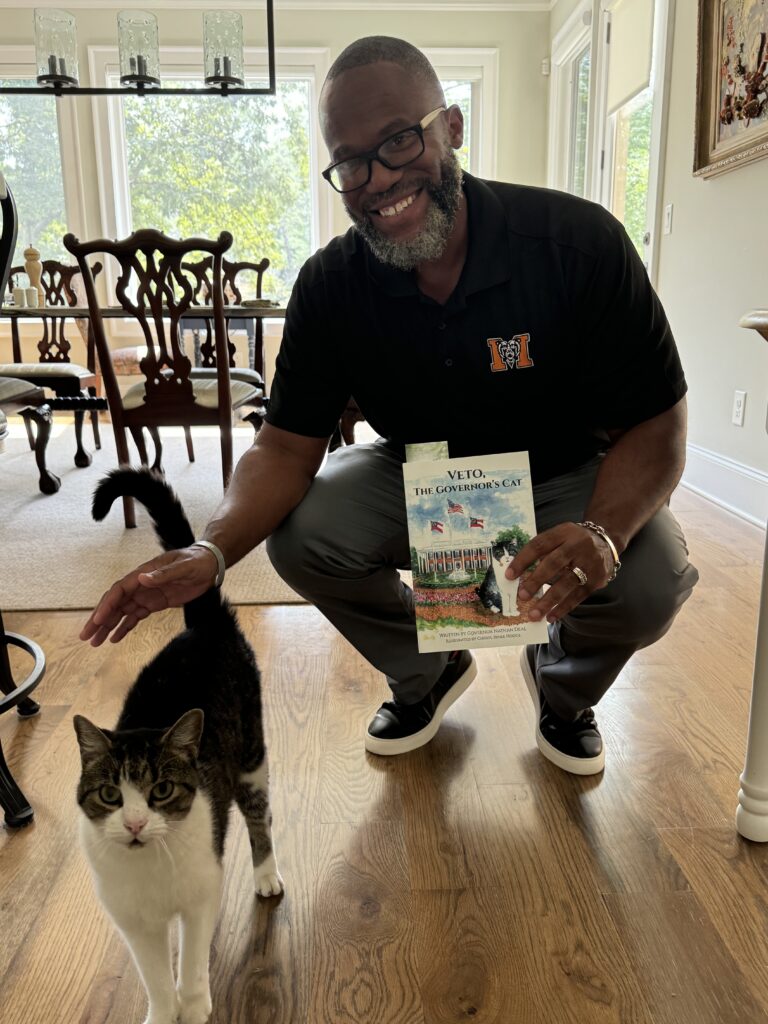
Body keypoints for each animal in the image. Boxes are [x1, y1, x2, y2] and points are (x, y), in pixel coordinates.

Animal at [71, 468, 282, 1024]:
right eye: (110, 795)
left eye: (161, 790)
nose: (135, 824)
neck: (150, 870)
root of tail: (205, 625)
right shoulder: (131, 920)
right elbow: (153, 976)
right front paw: (164, 1012)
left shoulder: (200, 894)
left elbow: (188, 960)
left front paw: (196, 1001)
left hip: (251, 758)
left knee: (260, 818)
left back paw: (266, 874)